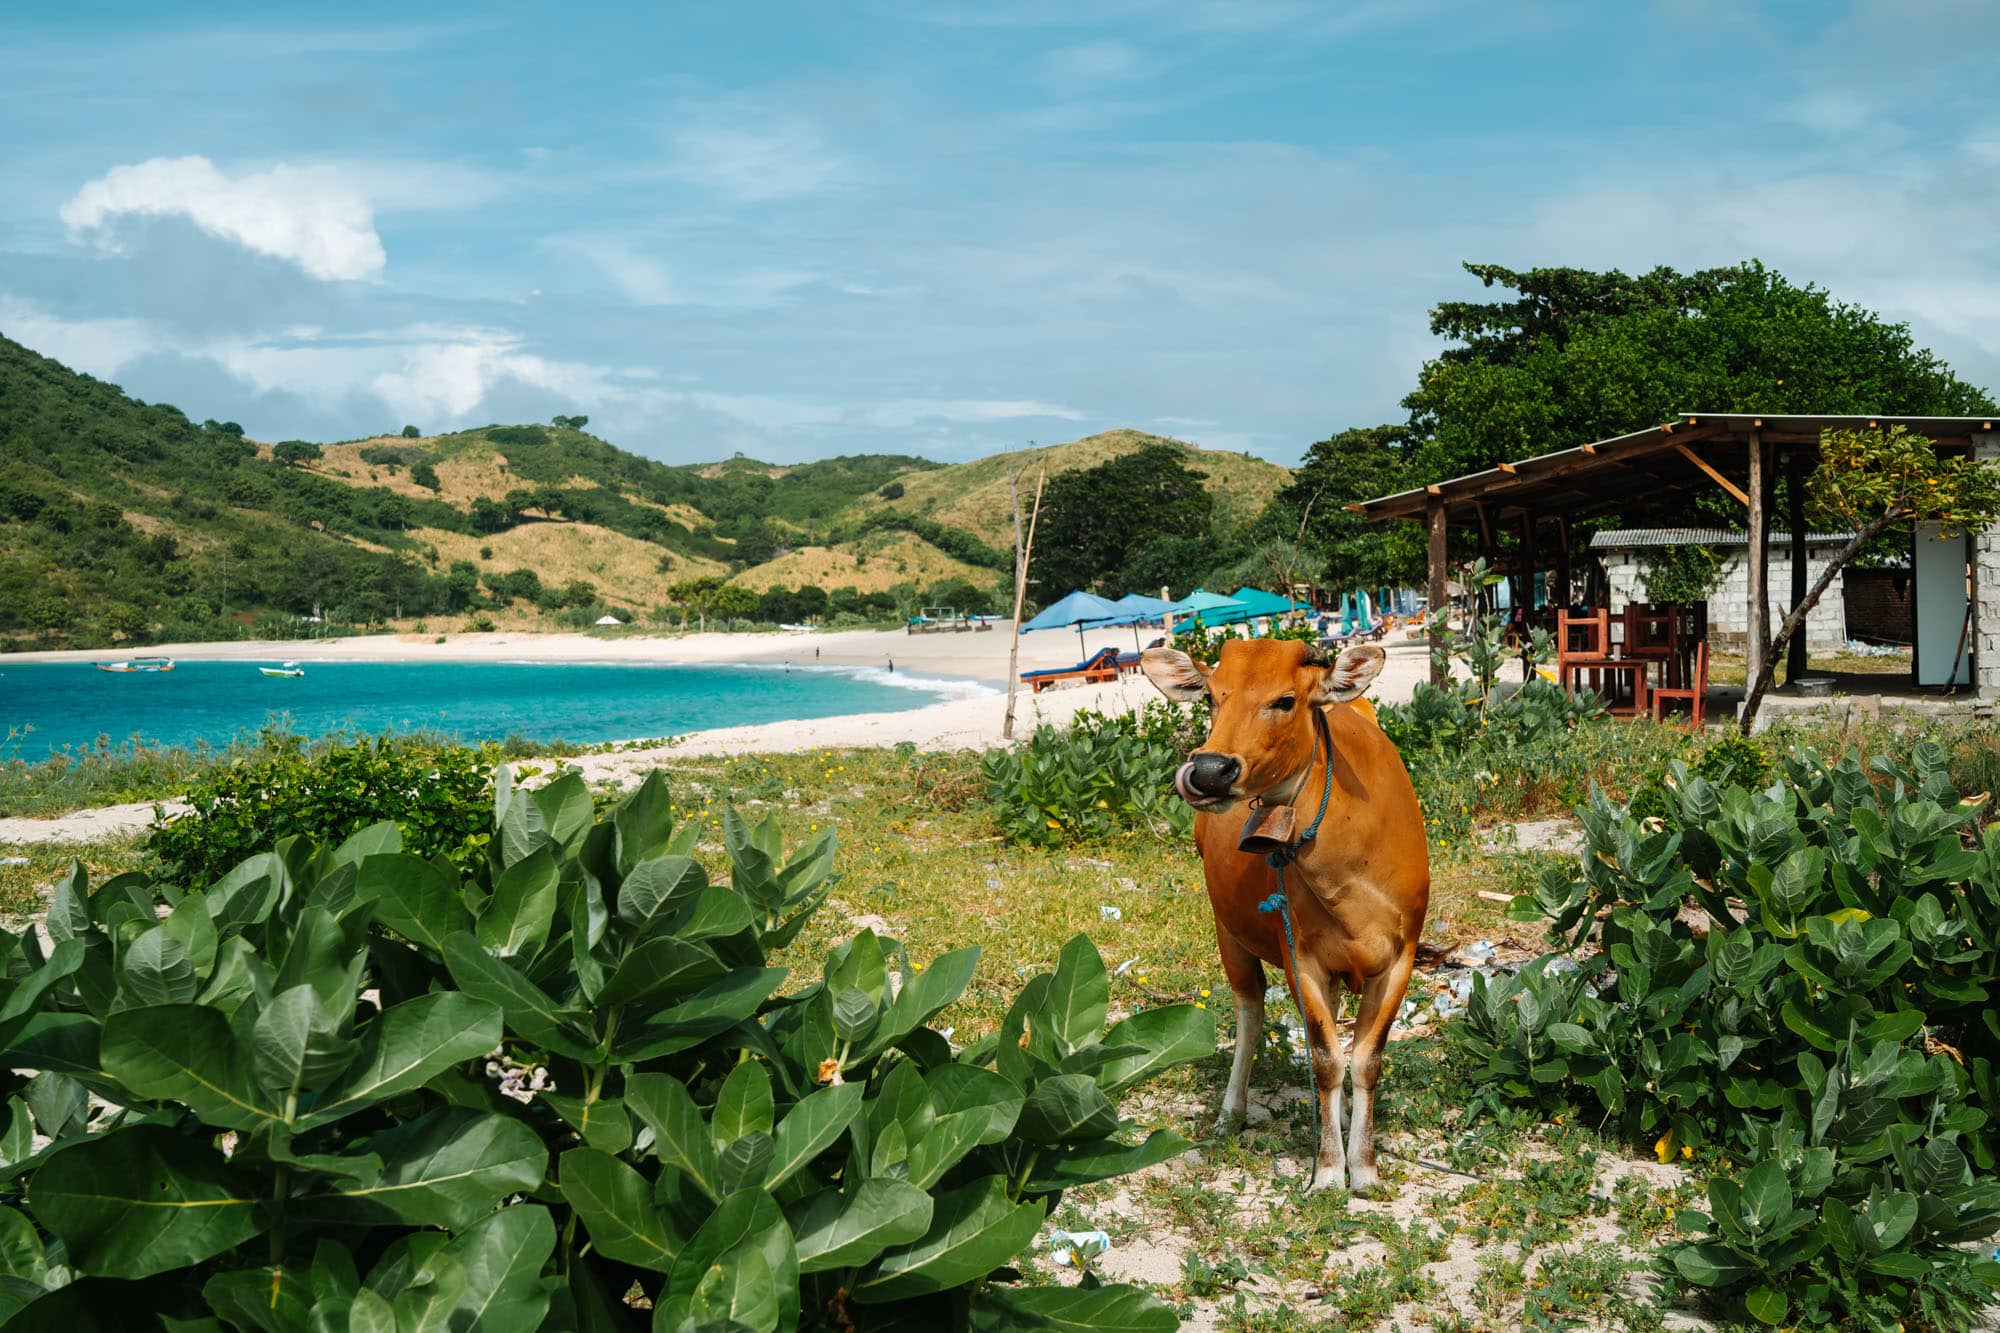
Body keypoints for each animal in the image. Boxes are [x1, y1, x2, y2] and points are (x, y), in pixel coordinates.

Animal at [1140, 638, 1429, 1192]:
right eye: (1211, 696)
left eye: (1286, 700)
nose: (1208, 772)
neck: (1353, 875)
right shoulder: (1302, 957)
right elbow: (1325, 1058)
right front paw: (1329, 1170)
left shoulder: (1401, 956)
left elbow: (1366, 1059)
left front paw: (1364, 1167)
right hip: (1227, 932)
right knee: (1251, 1014)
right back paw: (1231, 1113)